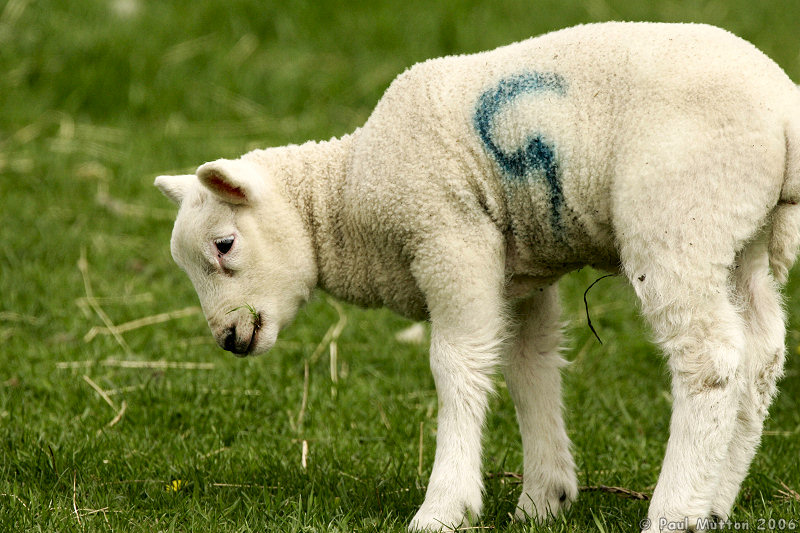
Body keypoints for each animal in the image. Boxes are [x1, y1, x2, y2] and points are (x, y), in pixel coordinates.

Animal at [155, 22, 800, 532]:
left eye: (224, 245)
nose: (228, 338)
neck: (345, 198)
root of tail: (783, 108)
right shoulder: (519, 276)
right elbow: (529, 367)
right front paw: (543, 499)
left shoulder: (451, 238)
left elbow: (456, 365)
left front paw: (444, 508)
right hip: (741, 236)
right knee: (760, 355)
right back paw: (713, 503)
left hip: (680, 216)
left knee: (709, 359)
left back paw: (673, 511)